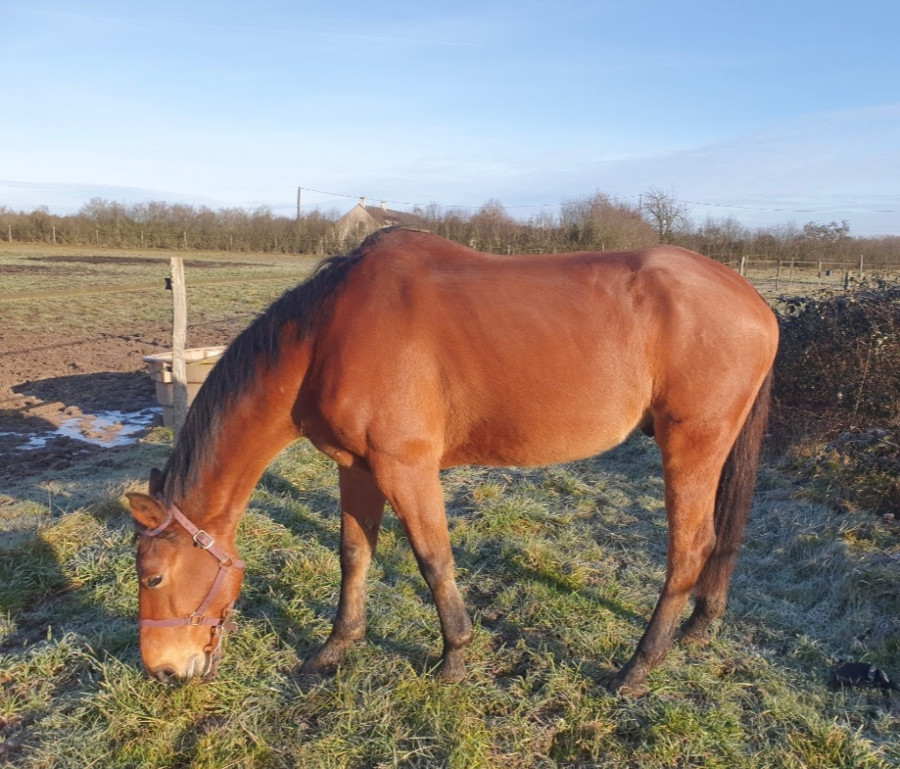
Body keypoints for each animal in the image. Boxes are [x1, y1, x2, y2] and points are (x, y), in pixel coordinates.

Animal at [127, 227, 778, 694]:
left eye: (152, 576)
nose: (161, 670)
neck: (327, 336)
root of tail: (756, 302)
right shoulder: (356, 467)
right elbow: (354, 555)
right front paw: (336, 648)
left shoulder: (405, 468)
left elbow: (433, 560)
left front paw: (454, 660)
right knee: (717, 543)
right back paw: (698, 628)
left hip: (690, 446)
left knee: (690, 548)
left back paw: (637, 669)